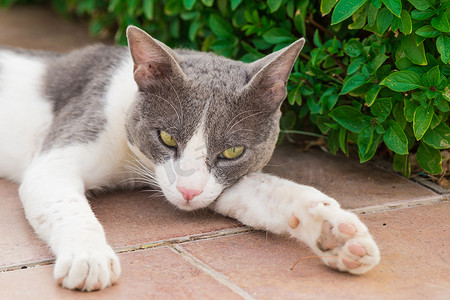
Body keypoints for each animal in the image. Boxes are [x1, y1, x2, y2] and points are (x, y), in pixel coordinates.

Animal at [0, 25, 380, 290]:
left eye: (232, 151)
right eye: (167, 138)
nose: (187, 192)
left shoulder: (219, 184)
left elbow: (268, 193)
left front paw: (338, 233)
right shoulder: (67, 142)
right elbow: (66, 204)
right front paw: (88, 257)